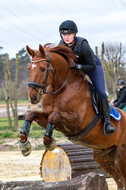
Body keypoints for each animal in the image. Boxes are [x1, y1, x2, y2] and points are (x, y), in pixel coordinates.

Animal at [19, 43, 126, 189]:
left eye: (42, 69)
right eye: (29, 68)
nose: (33, 97)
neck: (61, 89)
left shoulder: (76, 123)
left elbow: (54, 116)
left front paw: (49, 142)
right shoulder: (47, 117)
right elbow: (31, 115)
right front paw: (24, 144)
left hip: (121, 156)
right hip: (104, 156)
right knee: (119, 181)